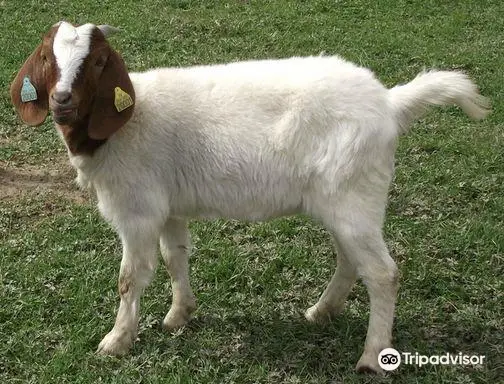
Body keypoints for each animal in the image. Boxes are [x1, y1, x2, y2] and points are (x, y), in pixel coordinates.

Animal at [8, 22, 488, 374]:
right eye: (48, 58)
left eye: (98, 61)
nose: (61, 100)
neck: (128, 118)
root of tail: (390, 103)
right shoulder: (169, 206)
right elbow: (175, 257)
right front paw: (180, 315)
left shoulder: (137, 209)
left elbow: (131, 277)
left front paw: (116, 341)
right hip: (342, 204)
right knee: (351, 260)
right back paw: (321, 312)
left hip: (354, 198)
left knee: (383, 274)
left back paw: (371, 357)